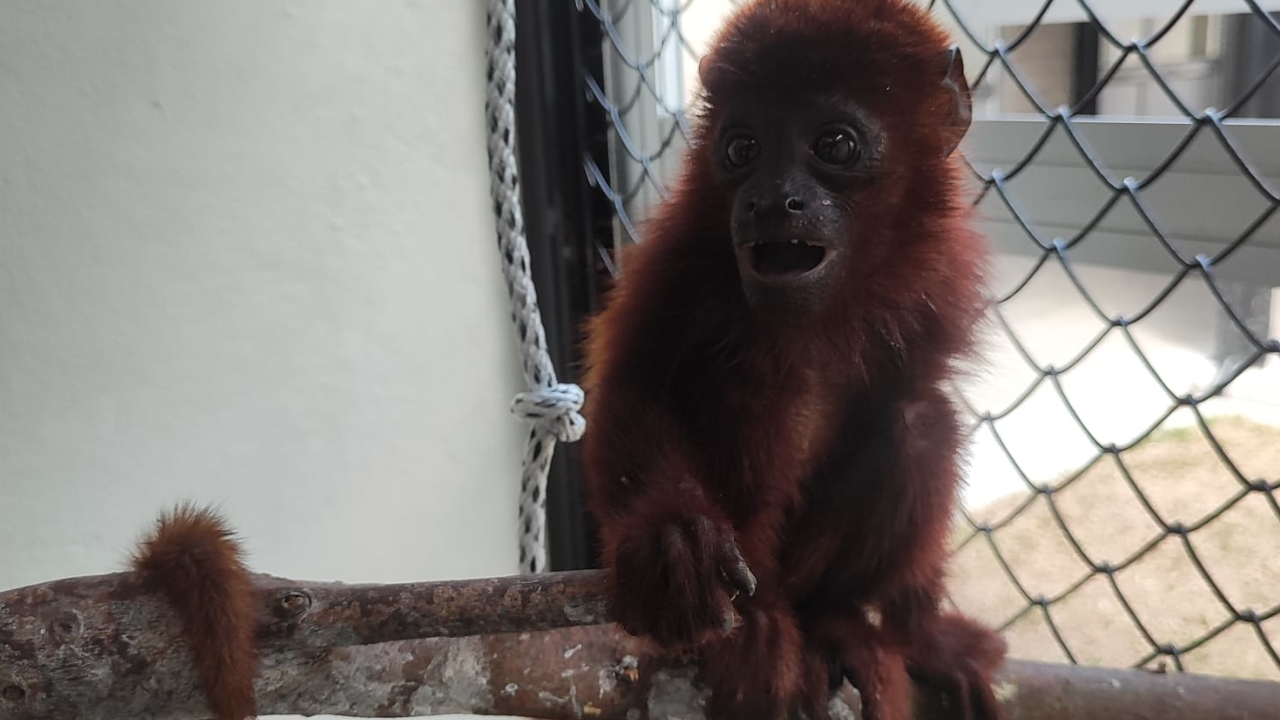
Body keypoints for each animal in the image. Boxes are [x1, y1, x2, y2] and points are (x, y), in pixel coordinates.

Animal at [578, 1, 1006, 719]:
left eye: (835, 145)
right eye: (742, 149)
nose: (771, 200)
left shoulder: (940, 277)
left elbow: (916, 395)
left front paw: (924, 633)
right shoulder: (678, 251)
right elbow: (636, 382)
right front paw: (670, 536)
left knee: (920, 423)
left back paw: (835, 622)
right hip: (758, 558)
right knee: (743, 386)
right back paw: (755, 628)